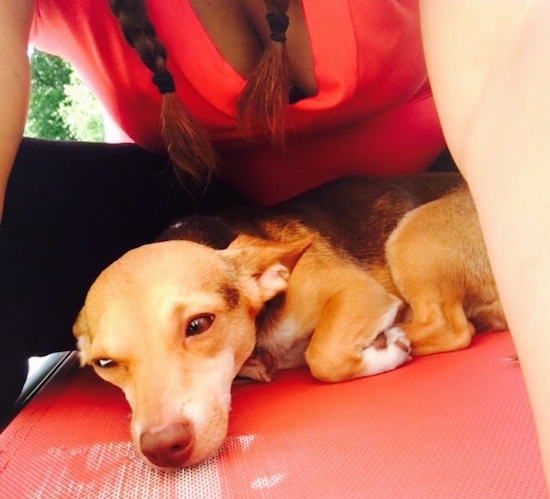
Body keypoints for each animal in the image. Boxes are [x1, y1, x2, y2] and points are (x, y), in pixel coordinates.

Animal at [73, 174, 508, 470]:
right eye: (105, 364)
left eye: (198, 325)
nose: (163, 446)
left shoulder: (357, 291)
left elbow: (324, 356)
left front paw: (384, 352)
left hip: (411, 236)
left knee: (450, 328)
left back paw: (398, 333)